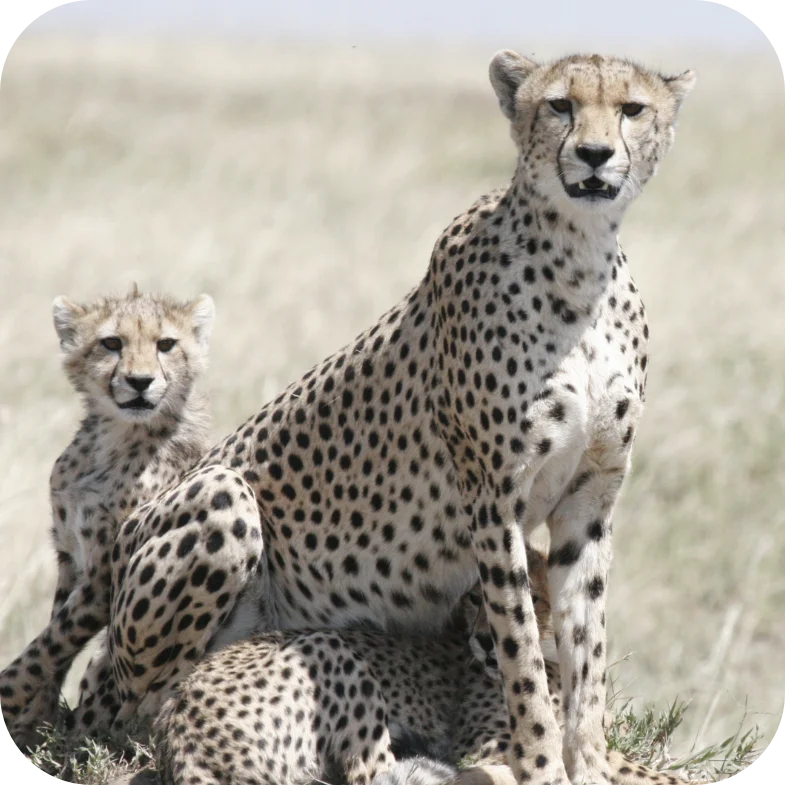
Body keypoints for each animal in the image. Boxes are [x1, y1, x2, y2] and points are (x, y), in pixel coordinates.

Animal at [0, 286, 216, 749]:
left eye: (166, 344)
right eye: (112, 343)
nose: (139, 381)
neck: (115, 438)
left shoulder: (104, 573)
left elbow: (50, 643)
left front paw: (10, 699)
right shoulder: (70, 556)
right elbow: (54, 638)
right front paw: (36, 724)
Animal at [91, 50, 695, 785]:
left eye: (632, 109)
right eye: (559, 105)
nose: (594, 153)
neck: (579, 261)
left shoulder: (589, 497)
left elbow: (587, 649)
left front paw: (589, 761)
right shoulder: (492, 497)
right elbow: (521, 649)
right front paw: (539, 761)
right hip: (221, 501)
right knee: (141, 708)